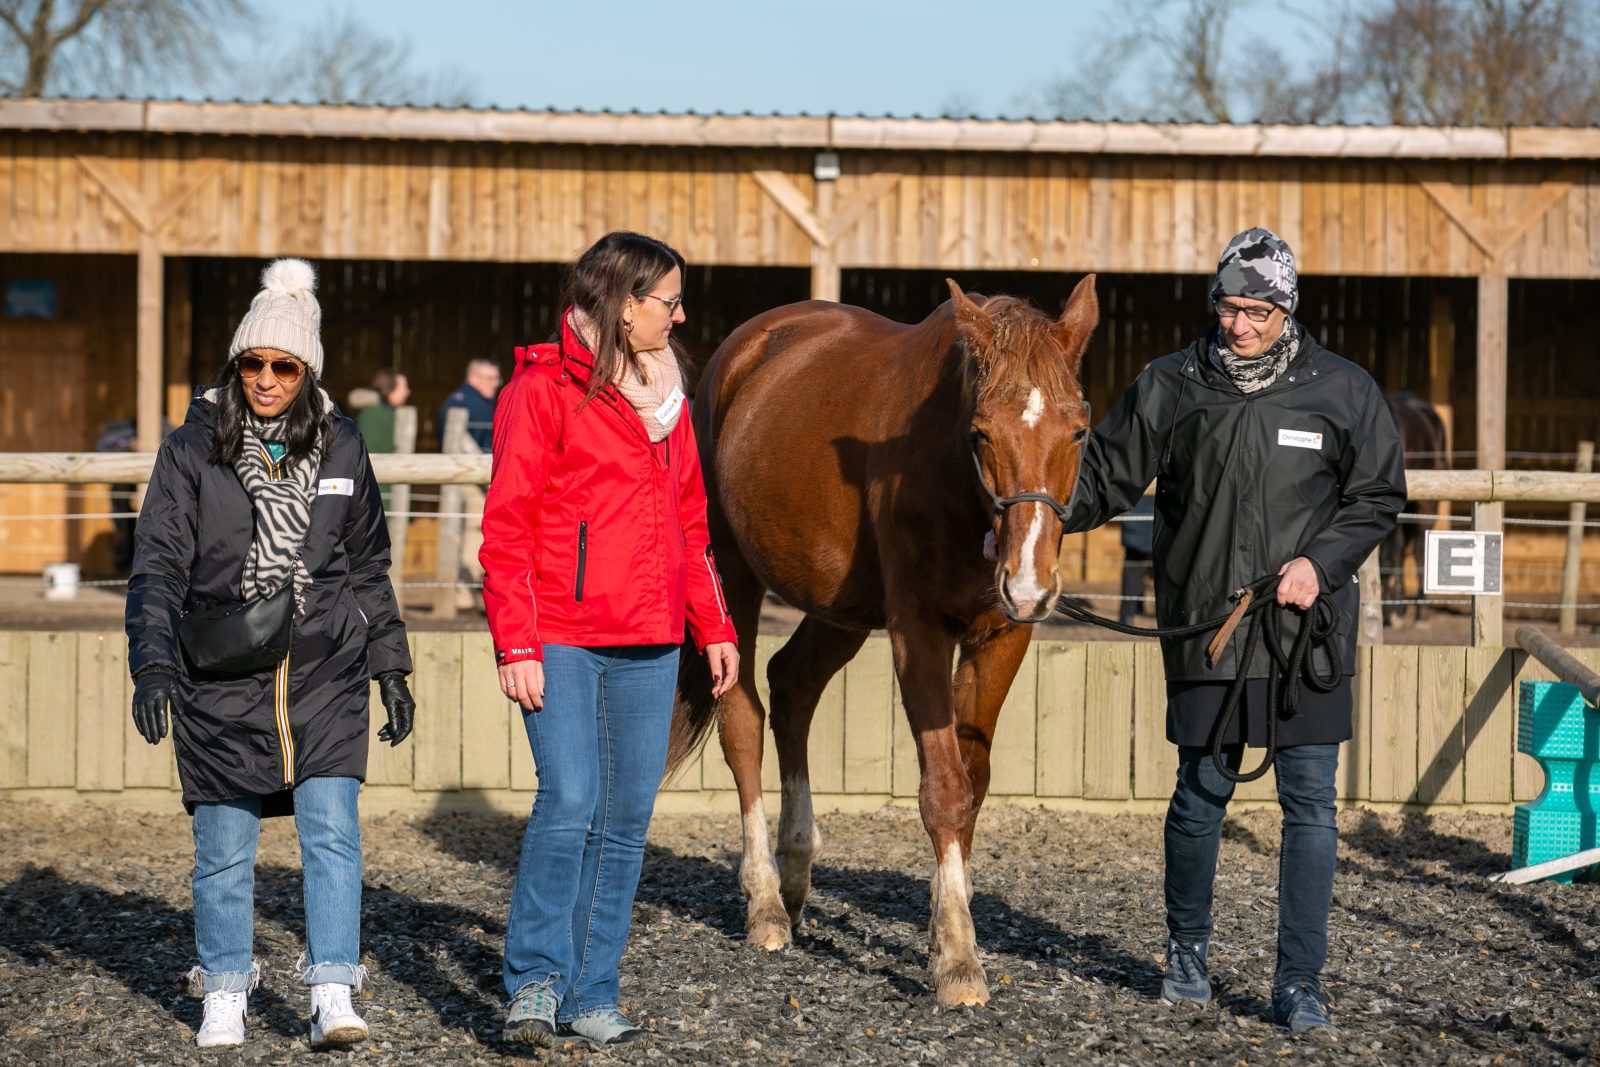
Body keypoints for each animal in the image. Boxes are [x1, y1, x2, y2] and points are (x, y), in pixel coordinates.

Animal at [665, 278, 1100, 1011]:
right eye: (982, 432)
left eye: (1078, 429)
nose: (1029, 583)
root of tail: (743, 350)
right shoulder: (916, 630)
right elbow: (944, 788)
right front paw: (958, 958)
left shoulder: (1003, 634)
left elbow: (973, 782)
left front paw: (944, 924)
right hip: (730, 573)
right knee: (744, 718)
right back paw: (765, 903)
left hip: (839, 608)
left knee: (793, 686)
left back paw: (795, 873)